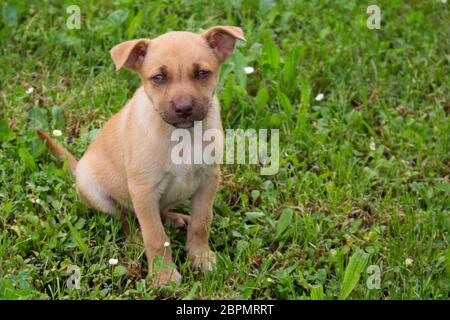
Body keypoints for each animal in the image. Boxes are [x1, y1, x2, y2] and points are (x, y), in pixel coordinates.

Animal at [36, 25, 244, 284]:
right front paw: (164, 276)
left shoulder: (209, 180)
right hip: (96, 192)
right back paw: (136, 240)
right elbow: (155, 236)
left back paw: (176, 218)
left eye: (202, 73)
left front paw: (200, 257)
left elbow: (201, 222)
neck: (182, 136)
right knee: (126, 219)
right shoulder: (143, 190)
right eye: (159, 78)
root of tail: (78, 166)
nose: (184, 108)